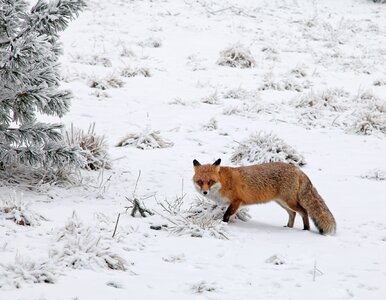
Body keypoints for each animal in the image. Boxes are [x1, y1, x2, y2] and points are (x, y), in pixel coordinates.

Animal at [192, 158, 334, 236]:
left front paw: (223, 225)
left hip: (289, 202)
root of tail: (297, 169)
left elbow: (226, 215)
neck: (224, 182)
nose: (205, 192)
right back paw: (289, 227)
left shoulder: (237, 201)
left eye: (210, 182)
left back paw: (305, 229)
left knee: (304, 211)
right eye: (200, 182)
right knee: (292, 213)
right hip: (282, 202)